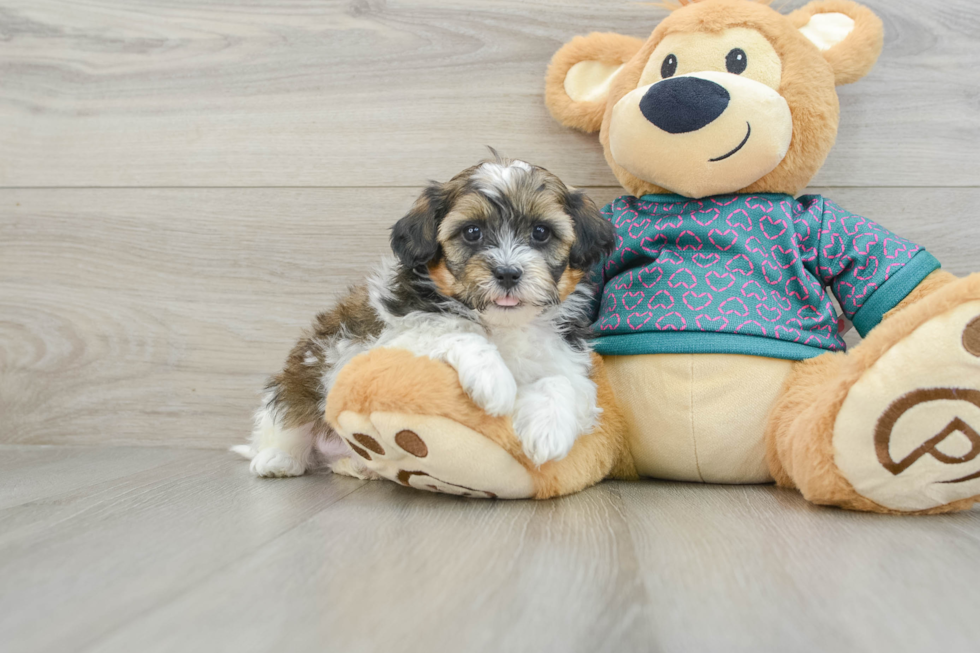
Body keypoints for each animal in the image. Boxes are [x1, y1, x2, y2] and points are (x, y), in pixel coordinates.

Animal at [234, 155, 616, 476]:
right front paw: (494, 380)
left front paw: (549, 431)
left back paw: (356, 465)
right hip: (298, 382)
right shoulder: (387, 341)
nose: (508, 273)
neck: (501, 324)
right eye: (472, 232)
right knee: (284, 418)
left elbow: (563, 381)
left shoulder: (566, 356)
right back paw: (278, 459)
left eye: (541, 232)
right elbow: (450, 330)